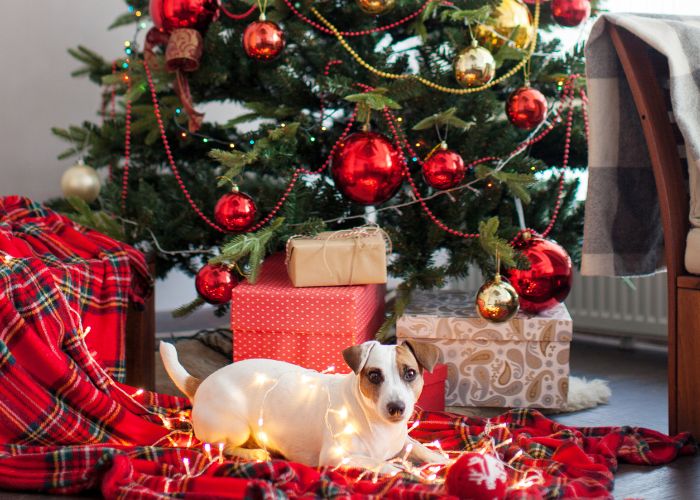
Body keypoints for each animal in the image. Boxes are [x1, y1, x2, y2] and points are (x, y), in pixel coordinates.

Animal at [160, 340, 448, 468]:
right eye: (375, 376)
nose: (396, 407)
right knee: (217, 447)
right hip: (236, 426)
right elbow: (380, 463)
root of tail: (200, 383)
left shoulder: (402, 439)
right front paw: (397, 467)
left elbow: (417, 445)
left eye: (410, 373)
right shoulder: (335, 457)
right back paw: (253, 453)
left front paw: (441, 458)